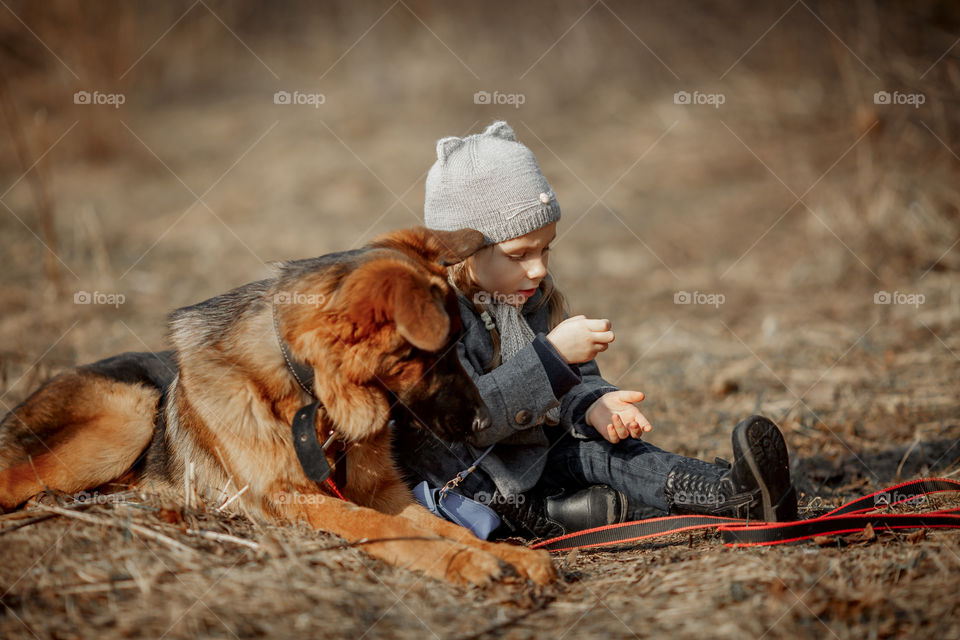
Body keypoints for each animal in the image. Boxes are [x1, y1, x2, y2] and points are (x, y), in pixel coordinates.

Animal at [0, 228, 556, 588]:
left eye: (462, 345)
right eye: (436, 353)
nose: (483, 423)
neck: (311, 400)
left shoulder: (380, 490)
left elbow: (441, 525)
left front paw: (503, 556)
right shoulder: (293, 497)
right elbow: (380, 527)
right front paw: (466, 564)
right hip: (130, 414)